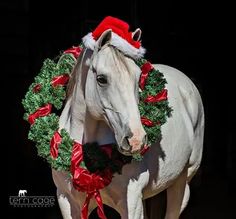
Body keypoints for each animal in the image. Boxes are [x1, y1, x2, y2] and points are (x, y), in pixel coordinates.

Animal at [52, 29, 205, 219]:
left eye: (138, 78)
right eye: (101, 79)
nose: (136, 140)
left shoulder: (131, 202)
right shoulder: (66, 200)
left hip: (182, 180)